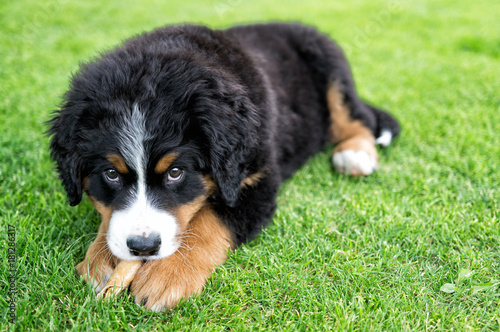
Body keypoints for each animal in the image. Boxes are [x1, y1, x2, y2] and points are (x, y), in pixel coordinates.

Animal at [47, 23, 400, 312]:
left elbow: (209, 221)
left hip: (332, 71)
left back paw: (355, 154)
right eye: (111, 174)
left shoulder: (255, 180)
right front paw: (101, 257)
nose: (143, 247)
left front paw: (167, 275)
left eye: (176, 172)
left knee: (356, 117)